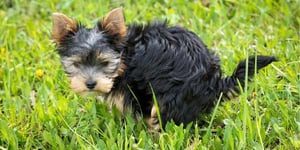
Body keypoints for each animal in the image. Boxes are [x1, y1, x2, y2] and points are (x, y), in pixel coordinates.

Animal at [51, 7, 276, 130]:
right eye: (77, 64)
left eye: (104, 63)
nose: (90, 84)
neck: (124, 57)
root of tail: (215, 81)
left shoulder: (136, 90)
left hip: (174, 96)